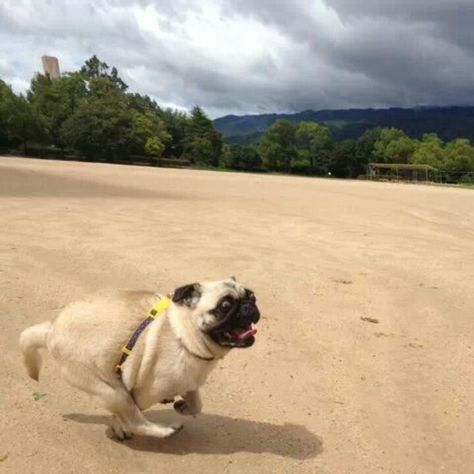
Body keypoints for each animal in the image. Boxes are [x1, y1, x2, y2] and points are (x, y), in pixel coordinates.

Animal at [19, 278, 260, 440]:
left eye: (252, 296)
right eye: (225, 306)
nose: (248, 306)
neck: (182, 333)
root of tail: (51, 330)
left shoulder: (190, 382)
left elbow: (197, 404)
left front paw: (183, 406)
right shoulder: (141, 394)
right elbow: (130, 416)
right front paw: (120, 427)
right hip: (110, 389)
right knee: (135, 420)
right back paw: (164, 431)